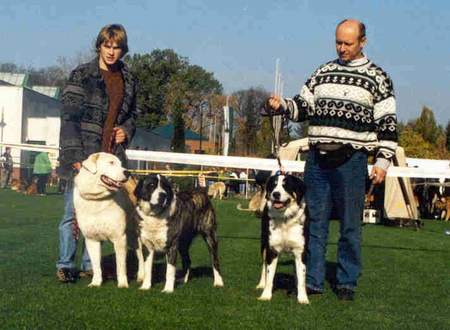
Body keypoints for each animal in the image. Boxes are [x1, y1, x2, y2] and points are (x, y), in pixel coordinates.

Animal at [74, 153, 143, 288]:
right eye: (111, 163)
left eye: (121, 164)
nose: (127, 172)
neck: (97, 199)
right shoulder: (92, 239)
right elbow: (96, 265)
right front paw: (95, 283)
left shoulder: (119, 237)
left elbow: (120, 266)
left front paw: (122, 284)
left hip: (135, 235)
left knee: (142, 257)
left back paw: (142, 276)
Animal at [256, 174, 310, 306]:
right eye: (273, 185)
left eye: (286, 186)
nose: (275, 194)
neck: (285, 220)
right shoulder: (272, 250)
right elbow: (269, 275)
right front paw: (265, 296)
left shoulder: (300, 251)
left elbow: (301, 277)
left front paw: (303, 298)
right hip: (264, 244)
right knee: (263, 266)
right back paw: (261, 284)